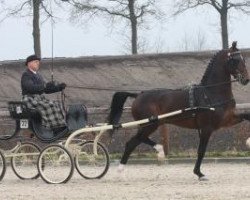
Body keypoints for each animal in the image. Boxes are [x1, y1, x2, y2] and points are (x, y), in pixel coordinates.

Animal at [106, 41, 249, 180]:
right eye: (235, 60)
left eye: (243, 59)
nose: (246, 79)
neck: (210, 93)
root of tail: (138, 95)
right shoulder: (207, 128)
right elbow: (201, 150)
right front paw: (199, 173)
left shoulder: (227, 119)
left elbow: (247, 116)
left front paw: (248, 141)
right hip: (150, 124)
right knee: (132, 142)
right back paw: (122, 171)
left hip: (152, 124)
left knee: (139, 139)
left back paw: (158, 153)